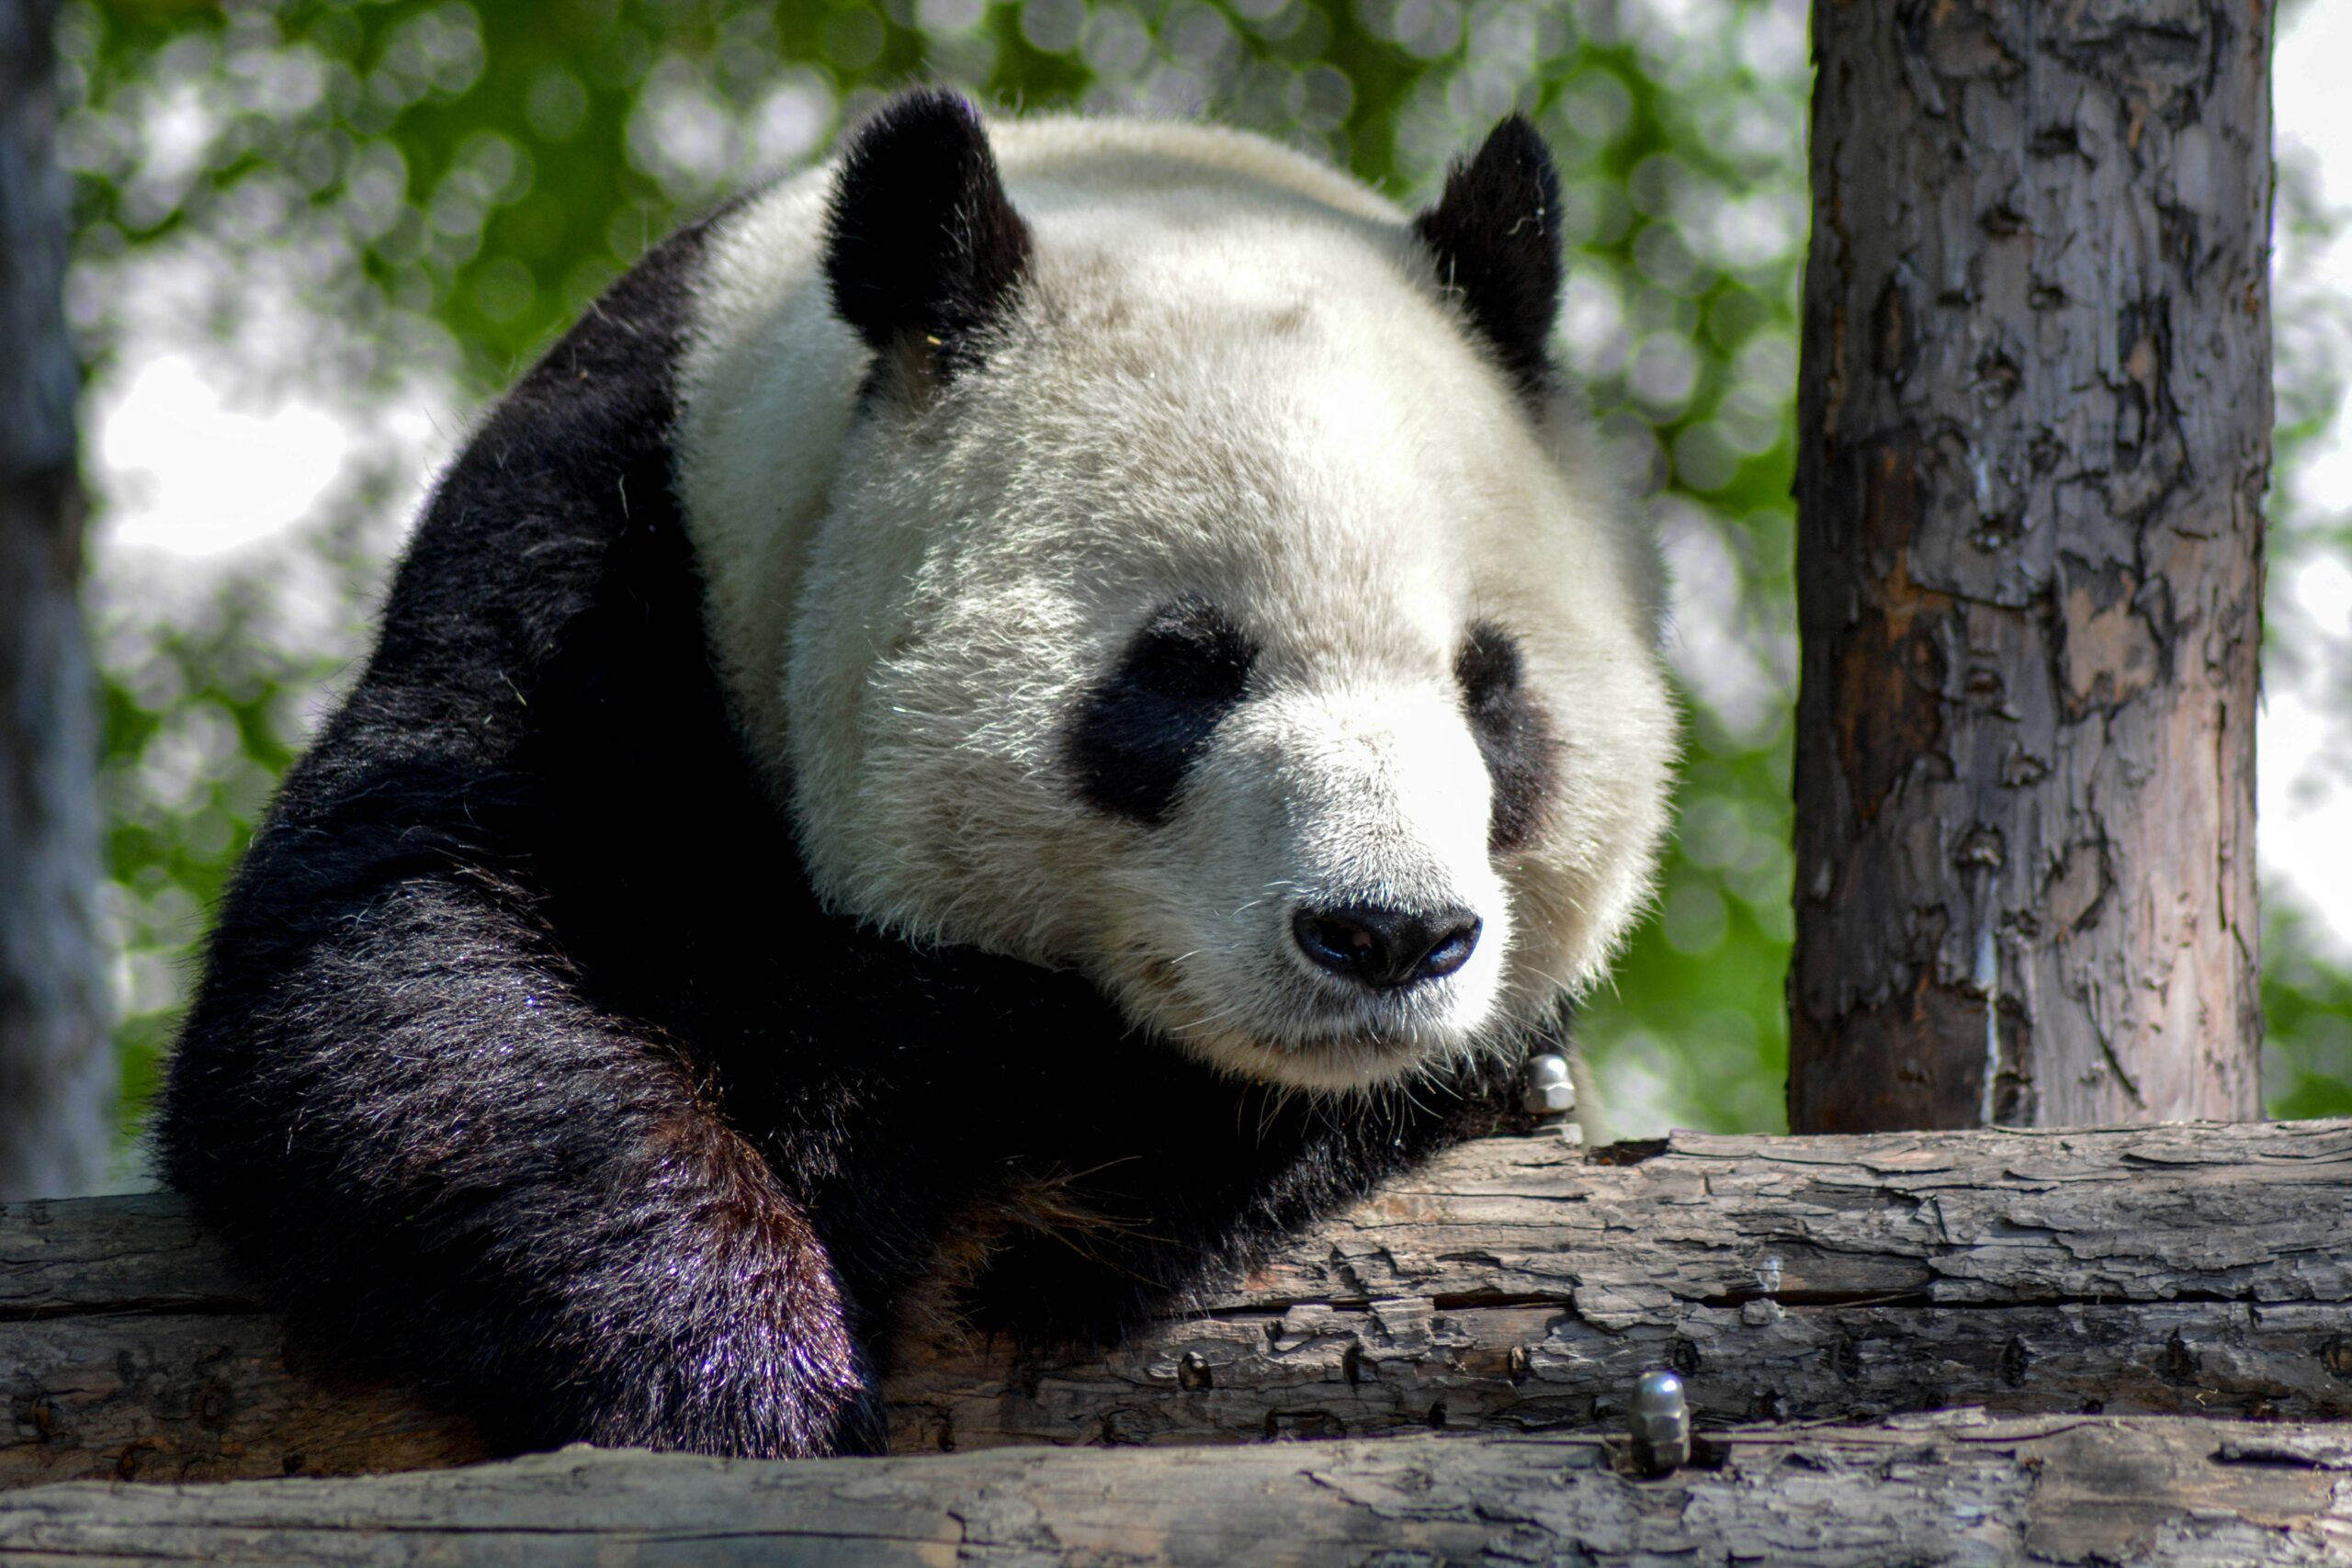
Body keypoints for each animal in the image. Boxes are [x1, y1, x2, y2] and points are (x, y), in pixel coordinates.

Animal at [161, 85, 1674, 1457]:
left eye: (1488, 688)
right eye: (1182, 669)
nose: (1386, 935)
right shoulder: (599, 552)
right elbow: (394, 979)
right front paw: (744, 1376)